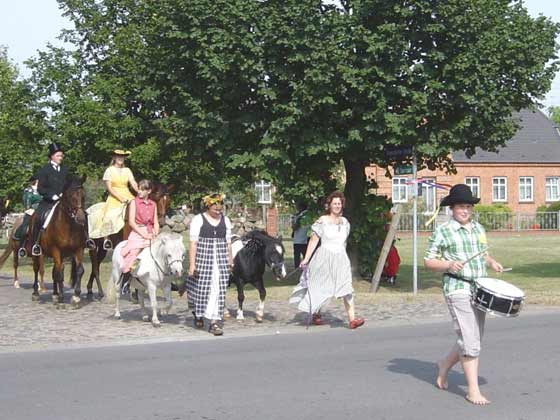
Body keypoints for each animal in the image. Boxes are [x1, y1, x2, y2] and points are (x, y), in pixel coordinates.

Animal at [30, 175, 87, 308]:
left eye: (83, 196)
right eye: (71, 196)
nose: (81, 219)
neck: (68, 225)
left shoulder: (78, 250)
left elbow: (79, 270)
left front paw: (76, 297)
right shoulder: (56, 250)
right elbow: (59, 274)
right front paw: (61, 299)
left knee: (55, 270)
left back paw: (55, 294)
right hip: (38, 252)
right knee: (36, 268)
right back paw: (36, 293)